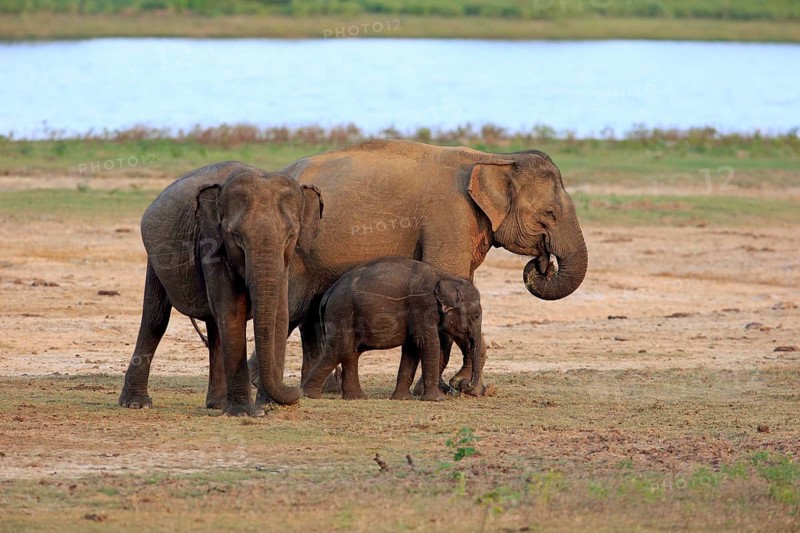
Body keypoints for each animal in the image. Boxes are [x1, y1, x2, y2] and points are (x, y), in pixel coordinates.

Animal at [118, 161, 323, 416]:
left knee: (213, 325)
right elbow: (232, 310)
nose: (295, 390)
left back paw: (216, 404)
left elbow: (280, 314)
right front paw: (245, 412)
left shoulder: (286, 261)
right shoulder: (212, 244)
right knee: (155, 320)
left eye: (291, 235)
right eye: (236, 236)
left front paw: (266, 407)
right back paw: (136, 403)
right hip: (156, 260)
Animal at [301, 257, 483, 401]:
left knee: (350, 353)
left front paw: (403, 398)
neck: (445, 277)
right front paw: (436, 400)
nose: (464, 386)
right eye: (476, 316)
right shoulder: (422, 306)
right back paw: (310, 394)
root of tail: (327, 294)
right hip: (341, 313)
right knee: (339, 350)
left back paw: (356, 398)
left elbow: (412, 348)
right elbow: (428, 343)